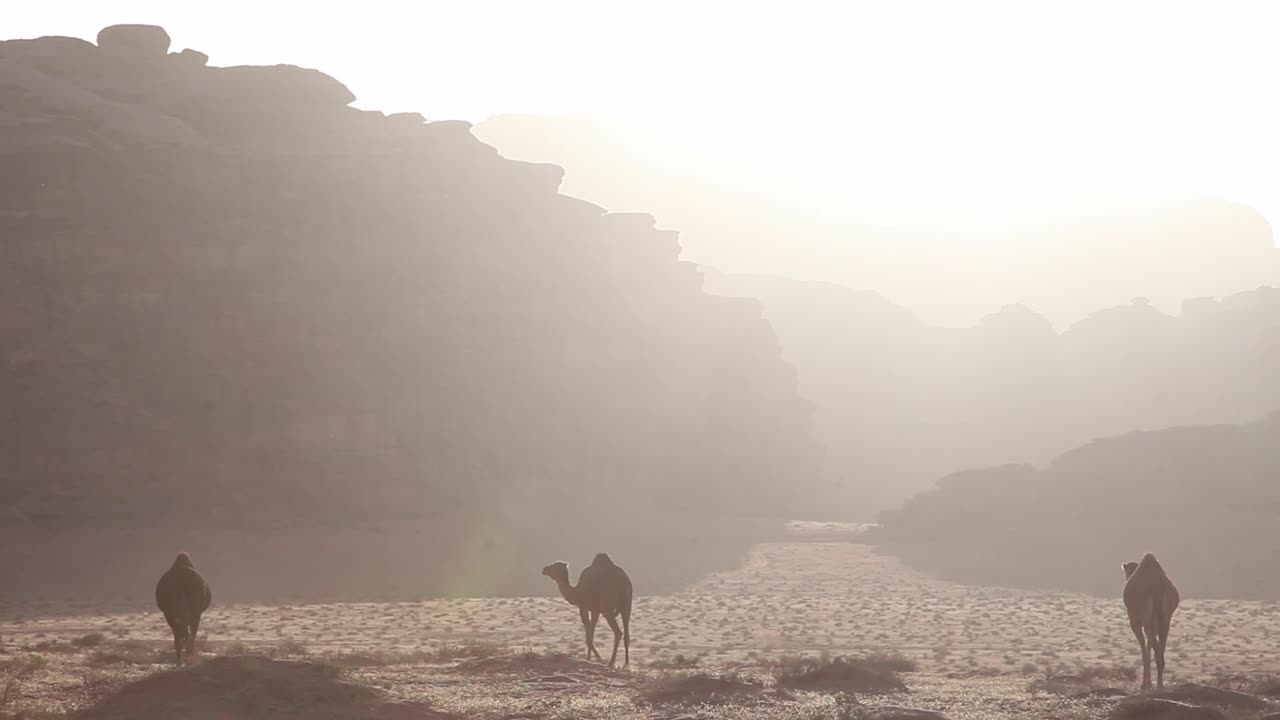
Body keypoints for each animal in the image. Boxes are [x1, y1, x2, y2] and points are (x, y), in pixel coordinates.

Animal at [1122, 553, 1179, 691]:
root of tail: (1156, 586)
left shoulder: (1136, 620)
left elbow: (1144, 651)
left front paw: (1145, 684)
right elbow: (1149, 646)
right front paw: (1148, 683)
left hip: (1146, 615)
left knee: (1155, 649)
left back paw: (1157, 685)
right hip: (1165, 617)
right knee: (1160, 646)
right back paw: (1160, 684)